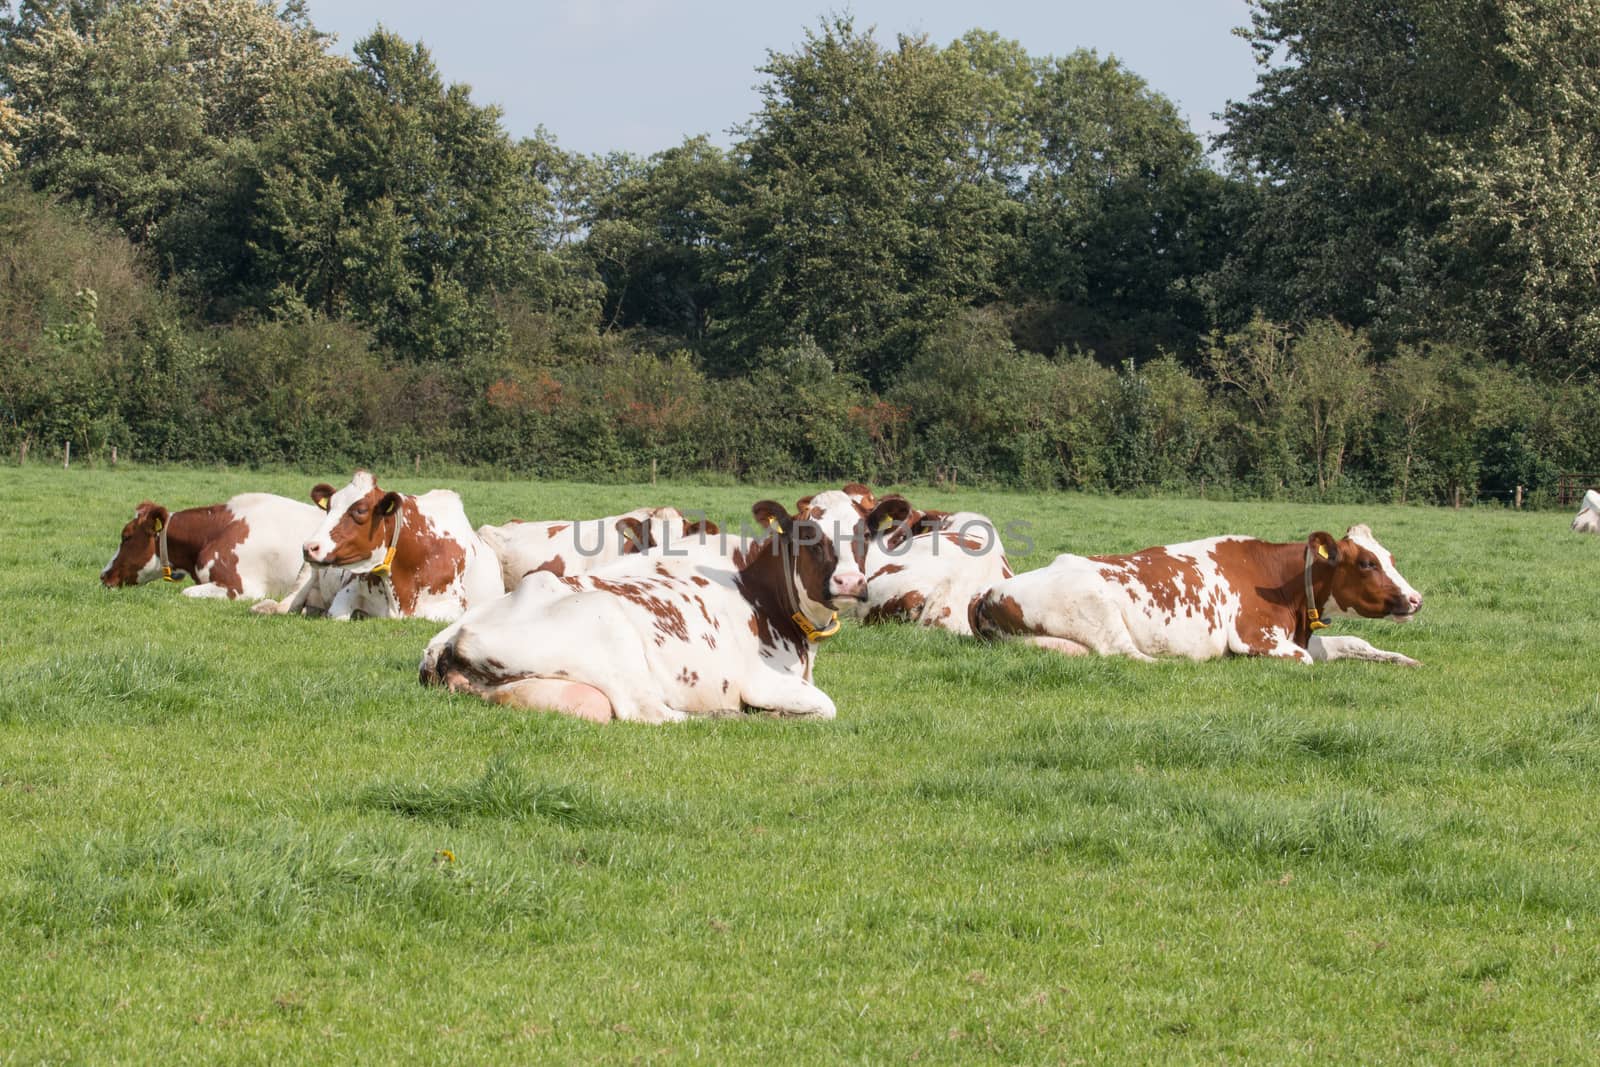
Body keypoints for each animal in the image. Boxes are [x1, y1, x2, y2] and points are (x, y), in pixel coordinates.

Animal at [294, 470, 502, 627]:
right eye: (329, 507)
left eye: (361, 510)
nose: (310, 547)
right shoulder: (348, 590)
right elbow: (338, 614)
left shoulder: (453, 606)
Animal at [419, 495, 908, 723]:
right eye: (807, 534)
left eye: (865, 531)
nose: (849, 582)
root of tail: (451, 639)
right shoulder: (762, 680)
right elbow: (826, 706)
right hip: (614, 634)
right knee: (652, 713)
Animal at [966, 527, 1420, 668]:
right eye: (1368, 563)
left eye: (1391, 558)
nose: (1415, 599)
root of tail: (988, 591)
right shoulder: (1256, 638)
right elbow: (1306, 660)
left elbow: (1352, 642)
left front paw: (1404, 659)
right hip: (1100, 609)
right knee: (1127, 654)